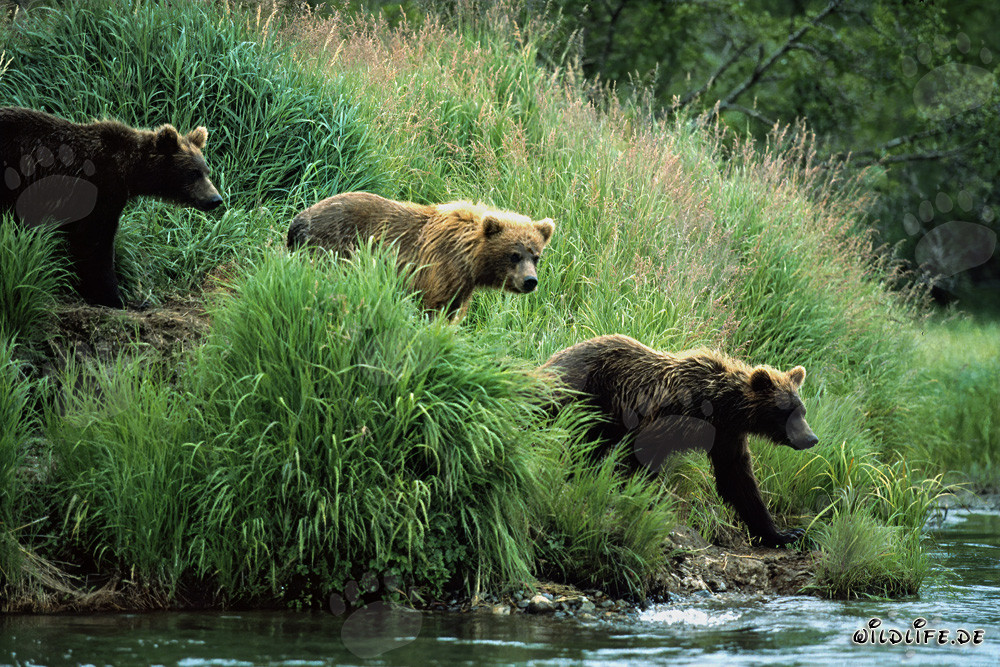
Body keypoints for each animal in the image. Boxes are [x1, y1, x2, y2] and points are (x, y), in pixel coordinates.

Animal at [0, 106, 223, 308]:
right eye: (193, 173)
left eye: (207, 170)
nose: (216, 199)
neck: (128, 170)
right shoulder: (99, 189)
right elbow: (95, 242)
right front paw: (117, 298)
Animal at [287, 192, 555, 317]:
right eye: (514, 254)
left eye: (536, 256)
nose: (530, 281)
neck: (471, 262)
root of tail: (297, 220)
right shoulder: (440, 270)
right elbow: (432, 307)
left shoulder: (461, 286)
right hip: (332, 247)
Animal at [540, 334, 819, 548]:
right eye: (788, 412)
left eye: (802, 411)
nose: (811, 438)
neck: (721, 407)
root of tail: (554, 357)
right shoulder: (670, 418)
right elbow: (643, 456)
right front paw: (640, 496)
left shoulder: (726, 435)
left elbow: (738, 480)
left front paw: (783, 534)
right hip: (584, 394)